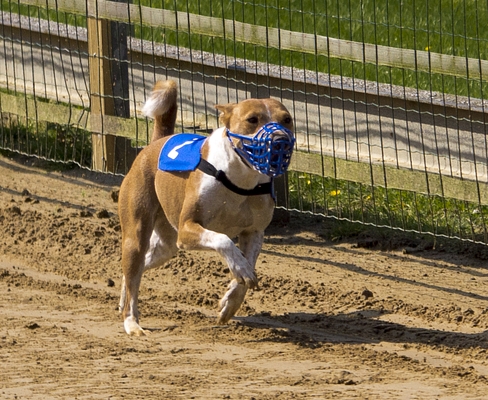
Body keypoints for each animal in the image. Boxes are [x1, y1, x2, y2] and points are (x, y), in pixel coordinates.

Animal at [118, 80, 295, 336]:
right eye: (252, 119)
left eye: (287, 119)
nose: (280, 138)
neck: (240, 179)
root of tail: (156, 143)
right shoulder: (187, 228)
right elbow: (224, 240)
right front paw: (239, 269)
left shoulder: (254, 232)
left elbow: (248, 264)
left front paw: (231, 301)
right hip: (137, 234)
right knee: (133, 272)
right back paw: (131, 322)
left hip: (165, 246)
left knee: (135, 271)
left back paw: (123, 300)